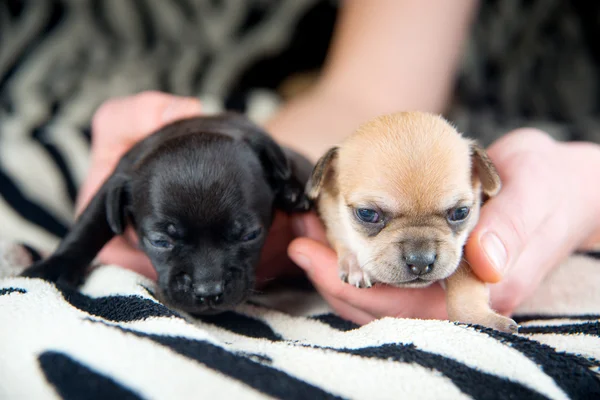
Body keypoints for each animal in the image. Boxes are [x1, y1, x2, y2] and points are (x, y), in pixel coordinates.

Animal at [21, 112, 312, 316]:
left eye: (250, 235)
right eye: (160, 242)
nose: (208, 292)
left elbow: (298, 165)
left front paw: (293, 190)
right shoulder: (114, 183)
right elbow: (89, 226)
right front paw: (55, 266)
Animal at [308, 111, 516, 332]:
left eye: (460, 212)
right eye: (367, 214)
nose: (420, 261)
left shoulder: (463, 256)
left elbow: (465, 286)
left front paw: (482, 319)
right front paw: (354, 264)